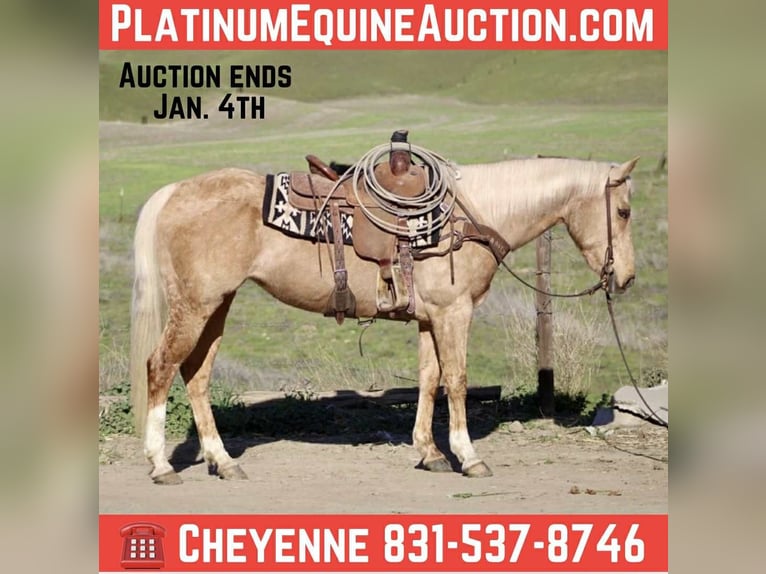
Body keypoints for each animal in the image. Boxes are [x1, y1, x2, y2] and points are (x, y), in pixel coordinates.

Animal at [129, 154, 639, 484]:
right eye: (624, 210)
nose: (627, 277)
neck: (470, 217)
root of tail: (174, 192)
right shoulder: (455, 312)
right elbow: (456, 380)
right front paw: (468, 456)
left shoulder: (431, 318)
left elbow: (429, 380)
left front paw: (430, 453)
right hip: (196, 305)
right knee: (160, 367)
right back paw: (161, 465)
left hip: (217, 305)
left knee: (196, 376)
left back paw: (224, 462)